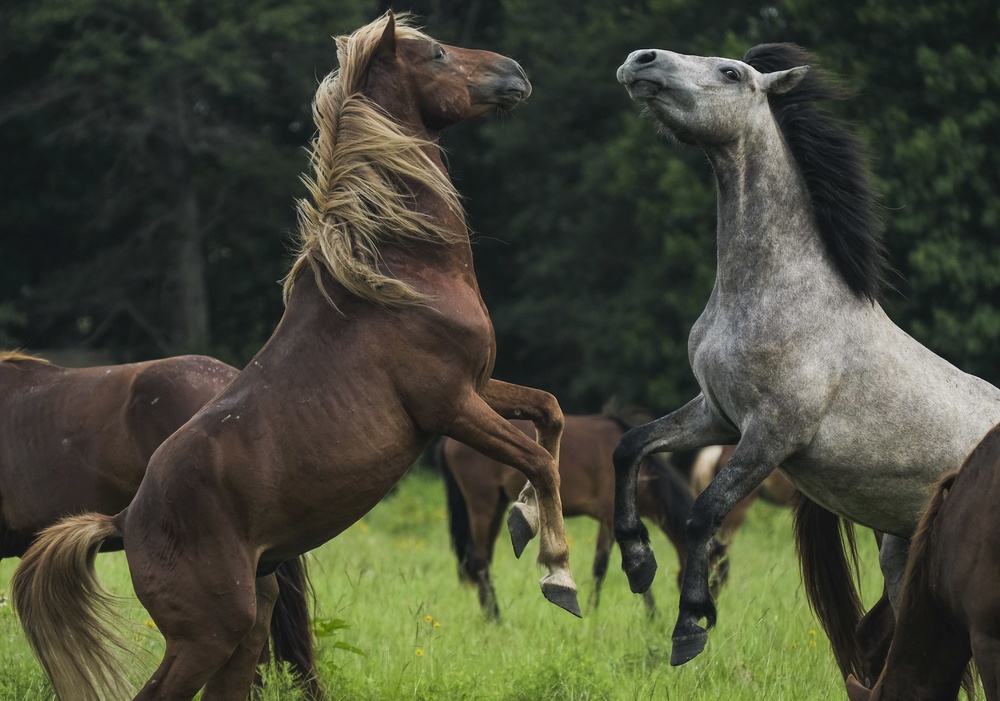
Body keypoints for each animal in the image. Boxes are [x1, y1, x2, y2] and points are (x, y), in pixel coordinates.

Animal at [434, 412, 724, 620]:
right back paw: (495, 617)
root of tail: (448, 439)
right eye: (714, 578)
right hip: (482, 505)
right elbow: (603, 567)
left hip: (496, 506)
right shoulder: (608, 519)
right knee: (478, 560)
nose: (705, 616)